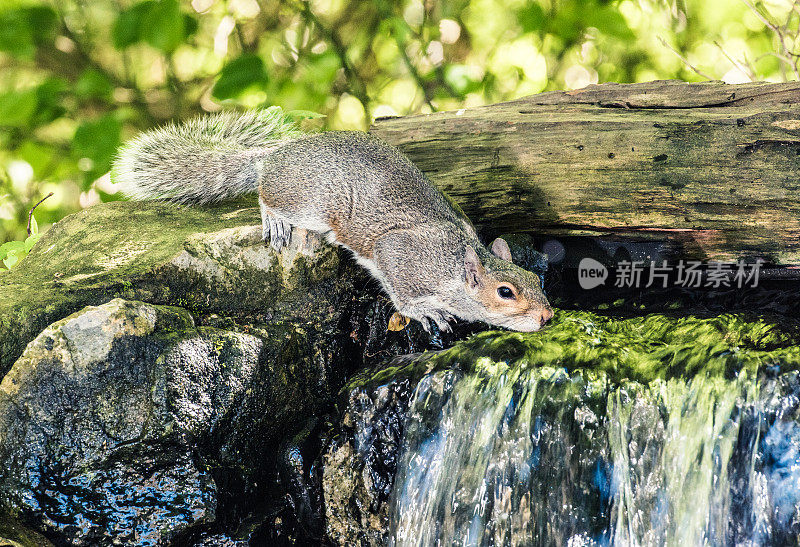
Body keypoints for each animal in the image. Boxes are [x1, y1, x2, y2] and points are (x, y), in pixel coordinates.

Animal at [112, 105, 552, 332]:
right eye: (505, 292)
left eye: (538, 280)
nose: (548, 315)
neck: (454, 264)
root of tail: (276, 155)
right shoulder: (400, 254)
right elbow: (401, 291)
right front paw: (423, 311)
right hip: (310, 201)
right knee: (267, 193)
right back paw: (273, 217)